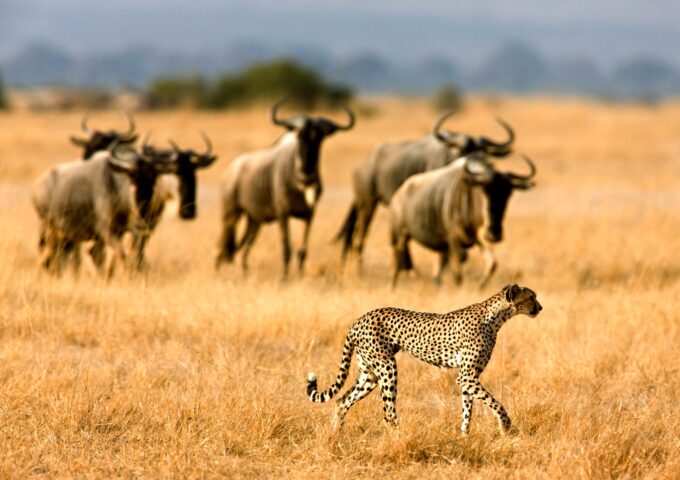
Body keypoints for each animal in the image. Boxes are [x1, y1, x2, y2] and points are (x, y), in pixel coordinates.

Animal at [306, 284, 540, 436]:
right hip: (386, 367)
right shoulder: (466, 377)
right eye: (531, 297)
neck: (496, 317)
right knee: (387, 413)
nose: (540, 308)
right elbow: (495, 403)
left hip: (369, 374)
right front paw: (505, 426)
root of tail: (359, 319)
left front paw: (464, 437)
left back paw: (336, 435)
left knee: (342, 401)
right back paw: (400, 437)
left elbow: (468, 410)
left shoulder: (468, 378)